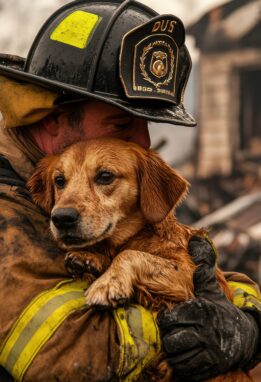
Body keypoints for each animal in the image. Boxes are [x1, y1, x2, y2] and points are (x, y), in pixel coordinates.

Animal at [27, 138, 251, 382]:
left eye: (105, 176)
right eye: (59, 181)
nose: (61, 218)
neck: (134, 237)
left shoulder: (188, 273)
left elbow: (131, 255)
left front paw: (108, 282)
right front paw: (90, 259)